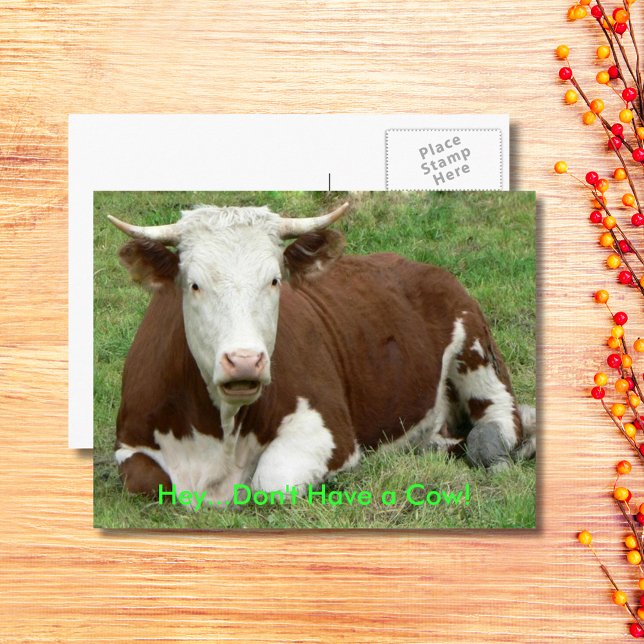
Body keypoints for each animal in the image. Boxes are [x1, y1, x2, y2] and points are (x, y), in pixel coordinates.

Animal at [108, 202, 536, 506]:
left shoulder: (331, 431)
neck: (221, 432)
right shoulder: (130, 442)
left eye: (274, 280)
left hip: (477, 350)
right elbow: (149, 480)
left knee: (501, 419)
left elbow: (273, 481)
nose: (245, 361)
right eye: (194, 284)